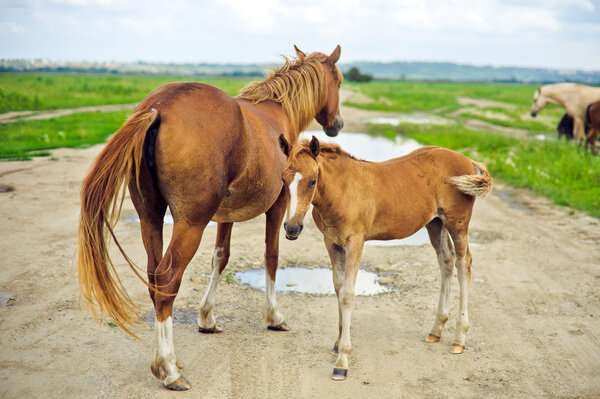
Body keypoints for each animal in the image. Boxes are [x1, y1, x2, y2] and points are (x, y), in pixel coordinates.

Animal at [77, 46, 344, 390]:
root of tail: (157, 107)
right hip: (190, 224)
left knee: (155, 280)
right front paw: (273, 317)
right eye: (339, 80)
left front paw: (207, 318)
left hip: (151, 218)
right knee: (167, 278)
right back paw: (169, 369)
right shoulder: (279, 206)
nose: (337, 123)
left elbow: (221, 257)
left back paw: (166, 360)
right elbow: (271, 257)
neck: (277, 110)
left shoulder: (225, 215)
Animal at [278, 137, 494, 382]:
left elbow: (348, 295)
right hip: (435, 223)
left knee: (463, 264)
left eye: (313, 181)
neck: (342, 191)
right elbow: (338, 288)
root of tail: (466, 159)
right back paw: (435, 331)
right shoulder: (331, 243)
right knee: (446, 261)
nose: (292, 228)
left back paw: (459, 339)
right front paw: (336, 343)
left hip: (457, 223)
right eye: (283, 179)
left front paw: (342, 361)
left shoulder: (355, 242)